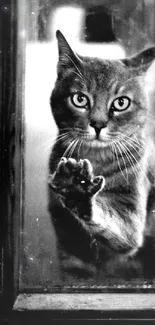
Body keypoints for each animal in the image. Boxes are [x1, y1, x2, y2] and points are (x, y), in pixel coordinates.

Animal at [47, 30, 155, 282]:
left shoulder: (131, 211)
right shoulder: (65, 232)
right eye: (79, 99)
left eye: (121, 102)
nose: (97, 124)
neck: (95, 160)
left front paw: (77, 189)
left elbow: (114, 225)